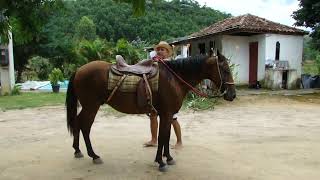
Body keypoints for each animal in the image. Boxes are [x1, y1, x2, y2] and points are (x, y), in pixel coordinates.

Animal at [65, 51, 235, 172]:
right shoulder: (166, 114)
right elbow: (162, 137)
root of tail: (79, 70)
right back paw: (94, 155)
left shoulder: (166, 115)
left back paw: (77, 150)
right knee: (85, 127)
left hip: (88, 107)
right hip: (91, 107)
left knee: (78, 124)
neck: (175, 78)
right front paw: (161, 162)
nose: (232, 95)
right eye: (225, 70)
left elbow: (166, 136)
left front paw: (168, 158)